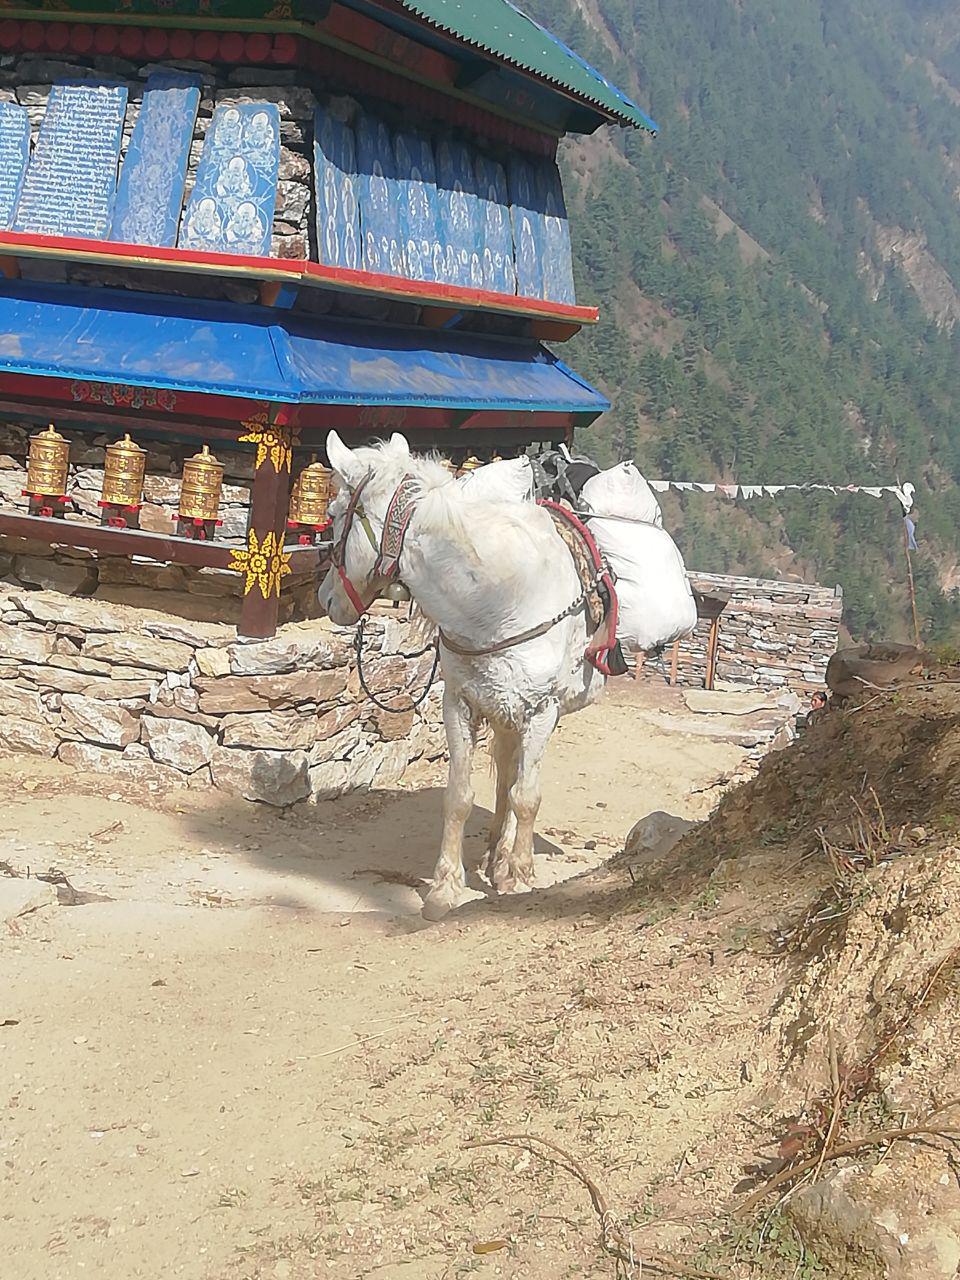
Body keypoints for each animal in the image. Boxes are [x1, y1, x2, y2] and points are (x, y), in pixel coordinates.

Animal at [320, 430, 604, 921]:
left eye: (335, 514)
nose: (324, 599)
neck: (496, 599)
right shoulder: (460, 702)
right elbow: (459, 796)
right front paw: (445, 888)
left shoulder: (542, 711)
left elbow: (528, 796)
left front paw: (521, 875)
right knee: (505, 775)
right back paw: (494, 857)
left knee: (517, 782)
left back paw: (506, 862)